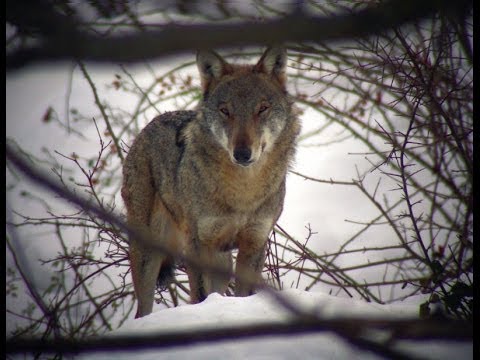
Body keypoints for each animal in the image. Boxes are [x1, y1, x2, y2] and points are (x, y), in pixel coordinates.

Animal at [121, 45, 300, 318]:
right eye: (225, 111)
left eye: (262, 109)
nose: (242, 153)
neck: (243, 191)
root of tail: (148, 126)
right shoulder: (197, 244)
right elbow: (202, 295)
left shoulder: (254, 243)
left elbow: (243, 295)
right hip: (149, 251)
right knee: (143, 308)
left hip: (221, 259)